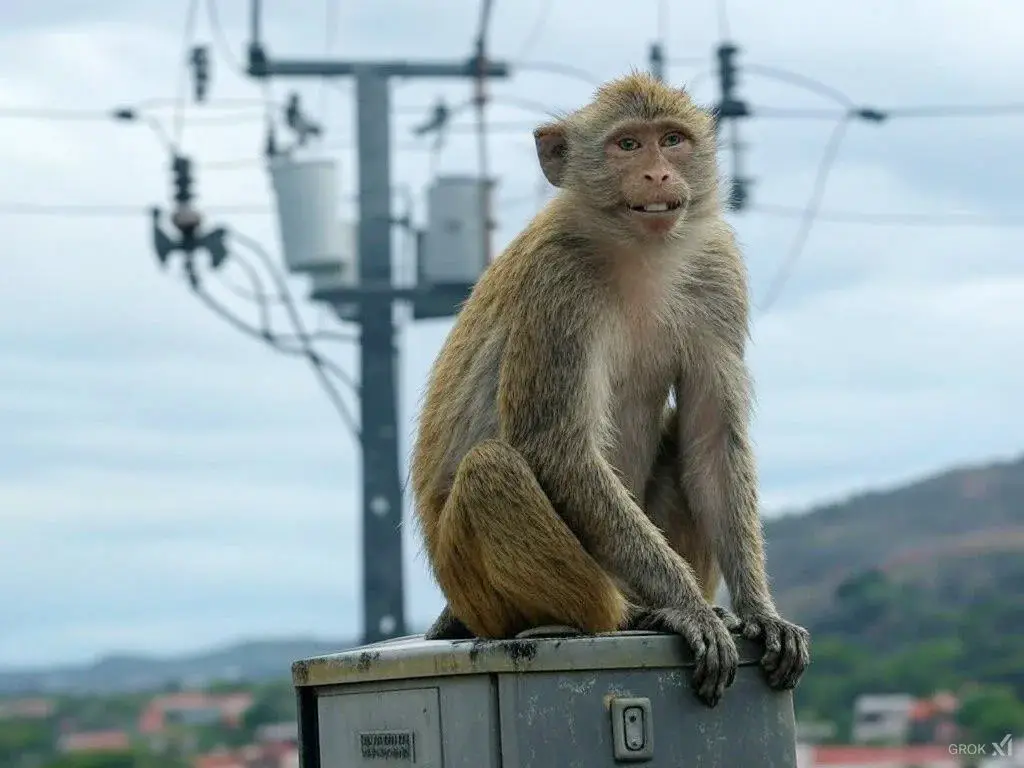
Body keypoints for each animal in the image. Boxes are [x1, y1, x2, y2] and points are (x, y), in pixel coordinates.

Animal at [407, 69, 806, 708]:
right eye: (627, 144)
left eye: (672, 140)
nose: (658, 174)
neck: (638, 253)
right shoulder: (557, 286)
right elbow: (556, 448)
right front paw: (690, 607)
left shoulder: (718, 272)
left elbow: (711, 439)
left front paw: (759, 611)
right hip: (471, 585)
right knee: (492, 469)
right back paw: (617, 615)